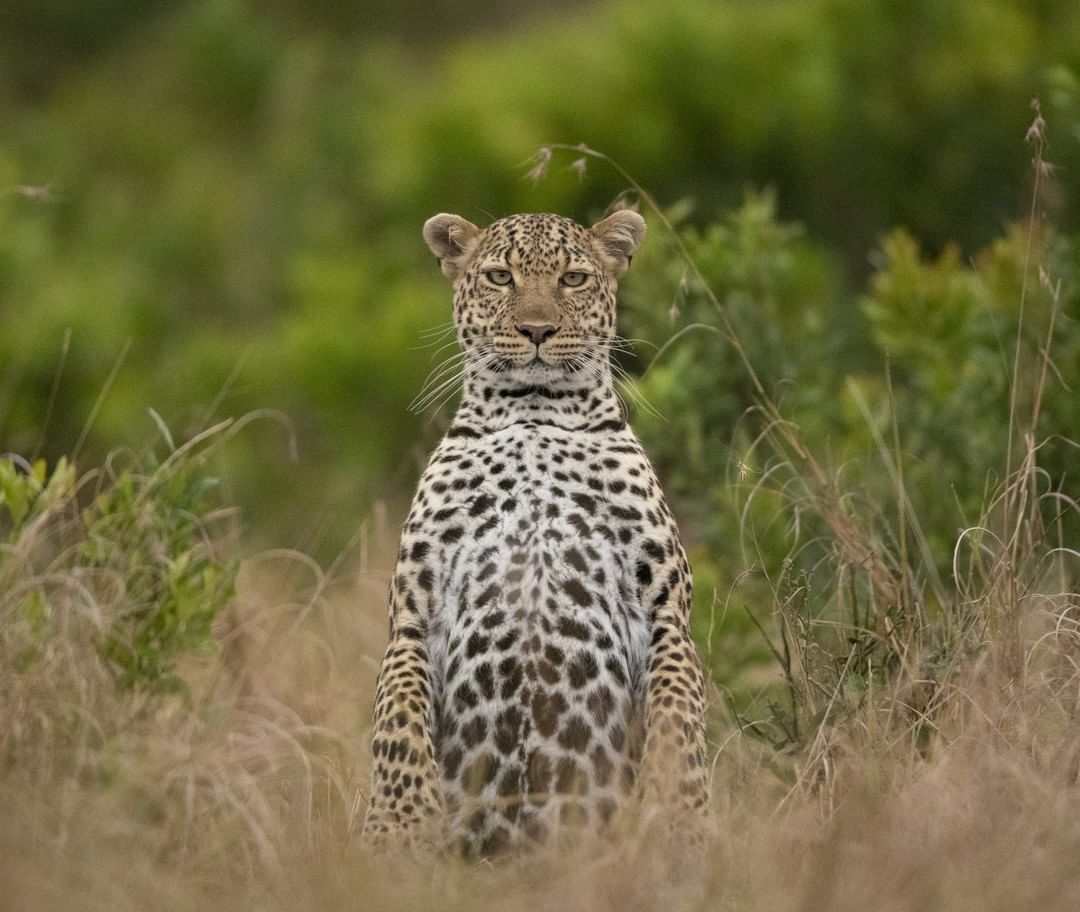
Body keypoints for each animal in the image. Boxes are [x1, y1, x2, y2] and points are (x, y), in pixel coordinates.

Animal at [362, 208, 712, 855]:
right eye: (500, 277)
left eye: (573, 279)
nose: (536, 330)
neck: (533, 414)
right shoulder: (413, 617)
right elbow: (396, 718)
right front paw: (397, 824)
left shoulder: (665, 611)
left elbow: (679, 714)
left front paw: (680, 817)